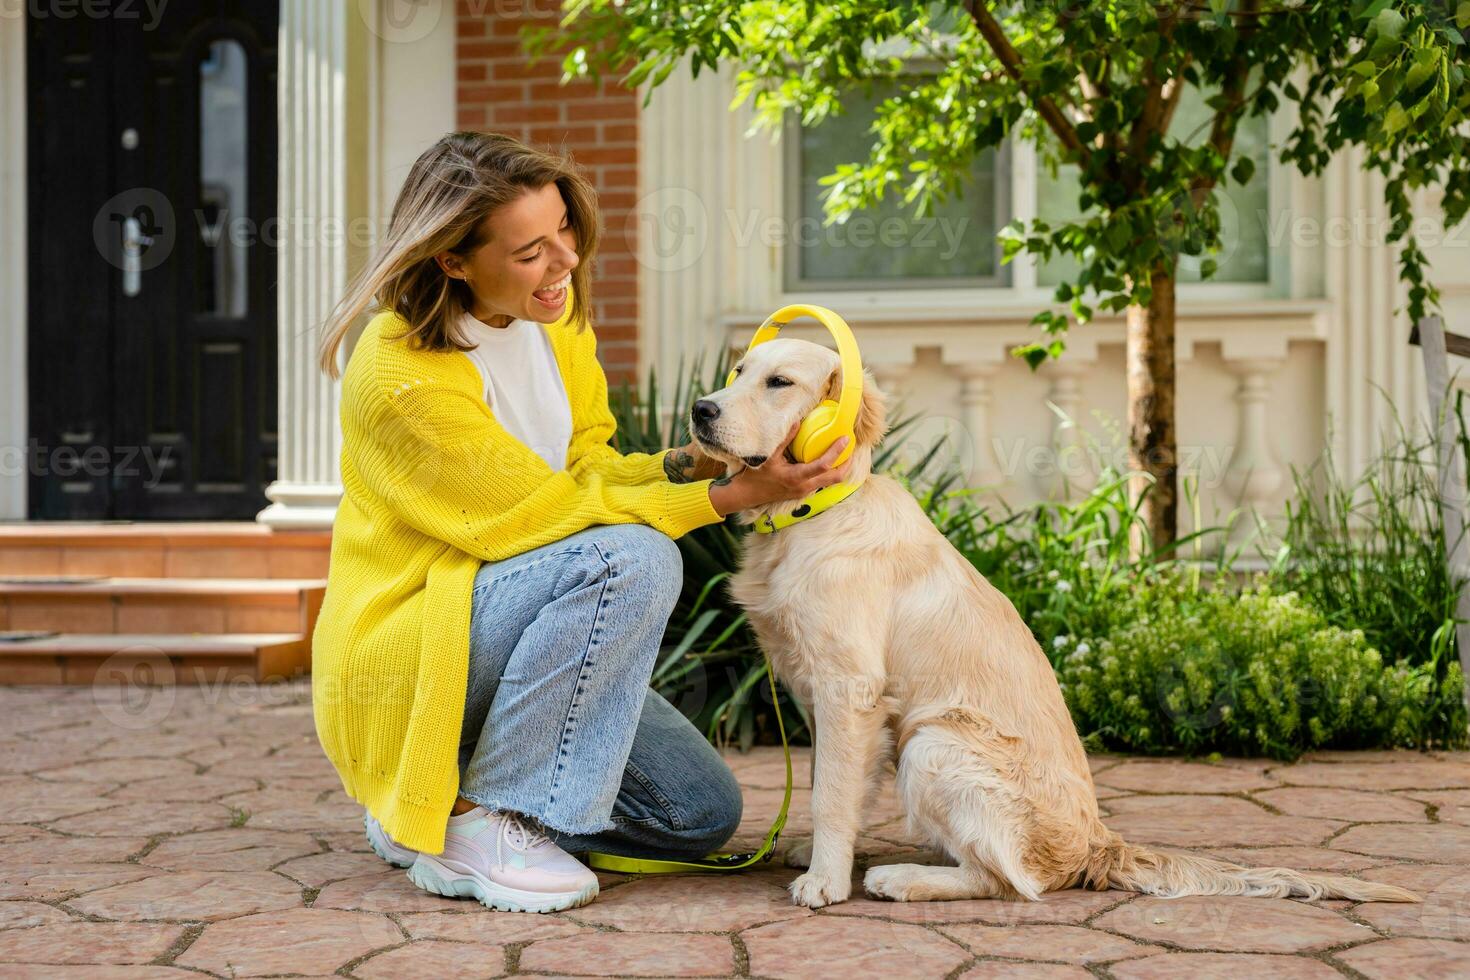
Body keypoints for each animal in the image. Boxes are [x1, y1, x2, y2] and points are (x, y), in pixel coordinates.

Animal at [693, 339, 1417, 910]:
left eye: (780, 383)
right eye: (737, 371)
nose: (701, 409)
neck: (809, 514)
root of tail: (1097, 843)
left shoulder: (850, 689)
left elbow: (833, 793)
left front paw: (826, 879)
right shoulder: (820, 696)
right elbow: (827, 781)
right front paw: (814, 854)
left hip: (934, 742)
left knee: (1012, 881)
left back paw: (902, 878)